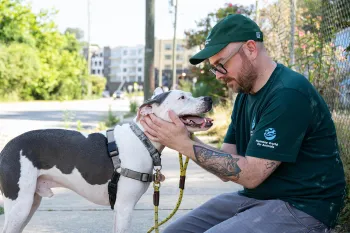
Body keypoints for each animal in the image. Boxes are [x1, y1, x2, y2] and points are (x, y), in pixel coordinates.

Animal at [0, 88, 213, 233]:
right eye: (182, 97)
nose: (209, 98)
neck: (142, 138)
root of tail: (6, 148)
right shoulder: (124, 207)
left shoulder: (119, 209)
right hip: (20, 206)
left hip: (30, 203)